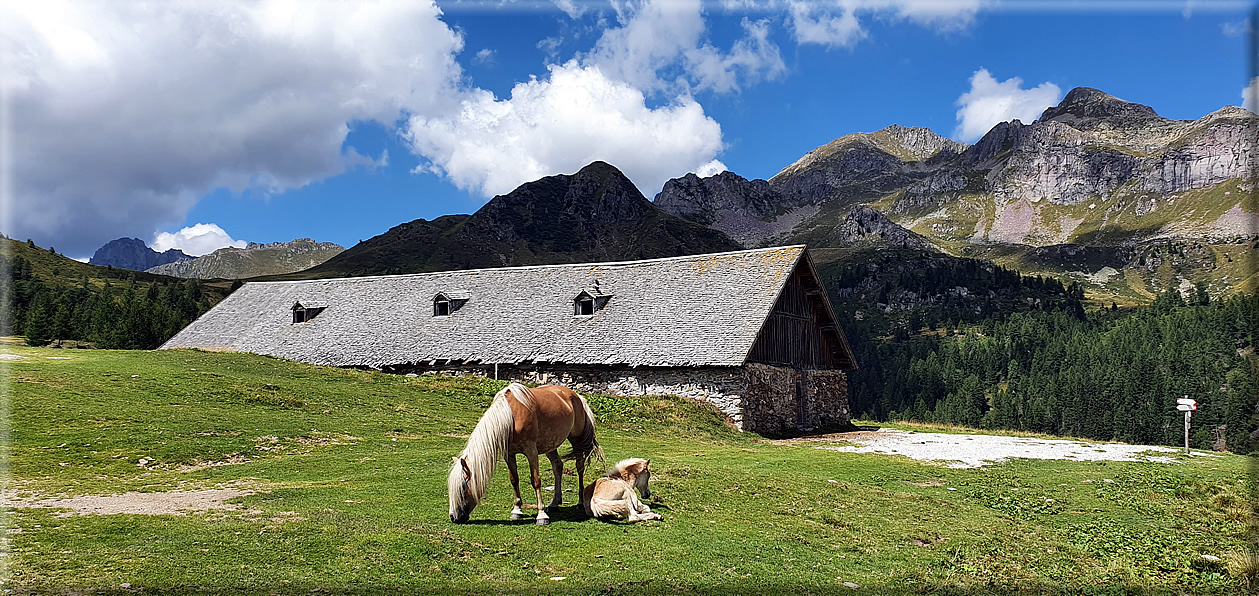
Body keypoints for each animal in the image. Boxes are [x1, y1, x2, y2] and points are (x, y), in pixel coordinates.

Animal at [448, 383, 604, 521]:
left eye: (463, 488)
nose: (454, 517)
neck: (511, 417)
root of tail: (577, 396)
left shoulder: (531, 450)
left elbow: (536, 480)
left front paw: (541, 515)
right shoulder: (509, 454)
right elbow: (514, 479)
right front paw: (517, 510)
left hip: (576, 440)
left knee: (580, 467)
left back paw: (580, 503)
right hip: (550, 444)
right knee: (557, 466)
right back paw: (554, 504)